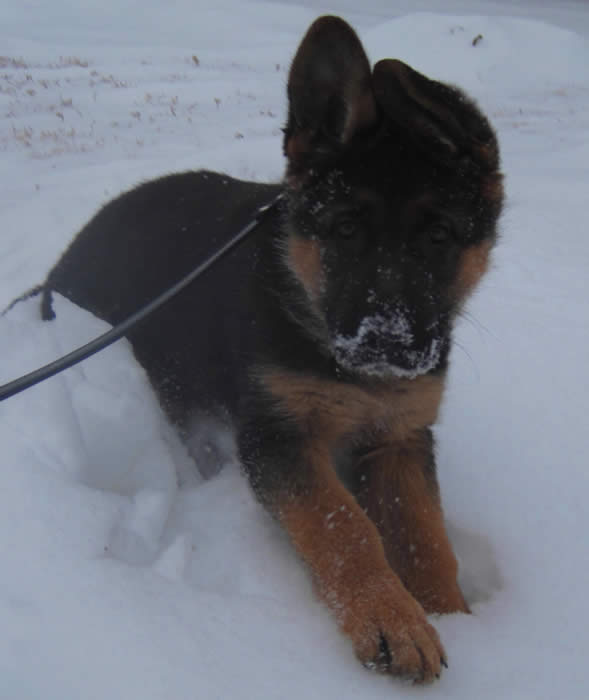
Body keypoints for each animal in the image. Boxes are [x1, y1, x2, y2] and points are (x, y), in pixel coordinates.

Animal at [39, 16, 503, 683]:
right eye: (344, 230)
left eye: (440, 236)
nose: (383, 342)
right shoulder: (278, 437)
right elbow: (345, 526)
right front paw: (391, 617)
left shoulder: (400, 437)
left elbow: (425, 536)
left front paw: (457, 618)